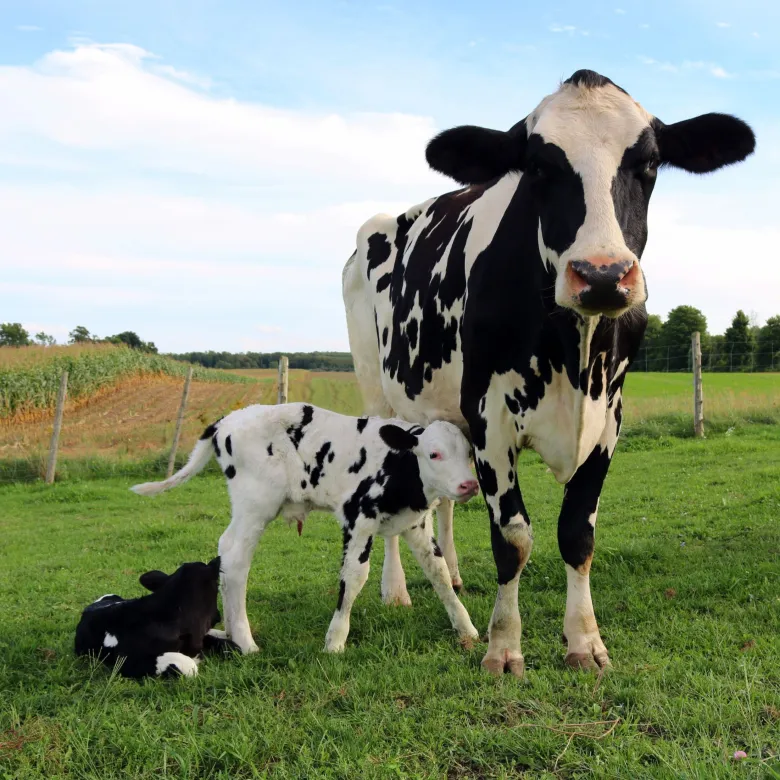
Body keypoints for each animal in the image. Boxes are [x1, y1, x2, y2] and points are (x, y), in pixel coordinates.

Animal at [131, 406, 478, 656]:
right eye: (434, 453)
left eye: (469, 454)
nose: (469, 485)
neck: (399, 467)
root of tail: (228, 419)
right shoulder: (358, 518)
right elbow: (354, 577)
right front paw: (335, 641)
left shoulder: (416, 524)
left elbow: (439, 572)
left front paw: (466, 628)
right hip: (255, 503)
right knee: (235, 556)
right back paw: (245, 641)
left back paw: (231, 634)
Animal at [342, 68, 756, 676]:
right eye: (538, 166)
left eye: (650, 163)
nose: (602, 274)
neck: (572, 355)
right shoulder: (490, 421)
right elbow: (513, 537)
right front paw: (503, 647)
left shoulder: (609, 419)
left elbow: (576, 533)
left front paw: (584, 641)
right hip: (379, 392)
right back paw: (395, 590)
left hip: (442, 414)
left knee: (444, 501)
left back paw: (454, 573)